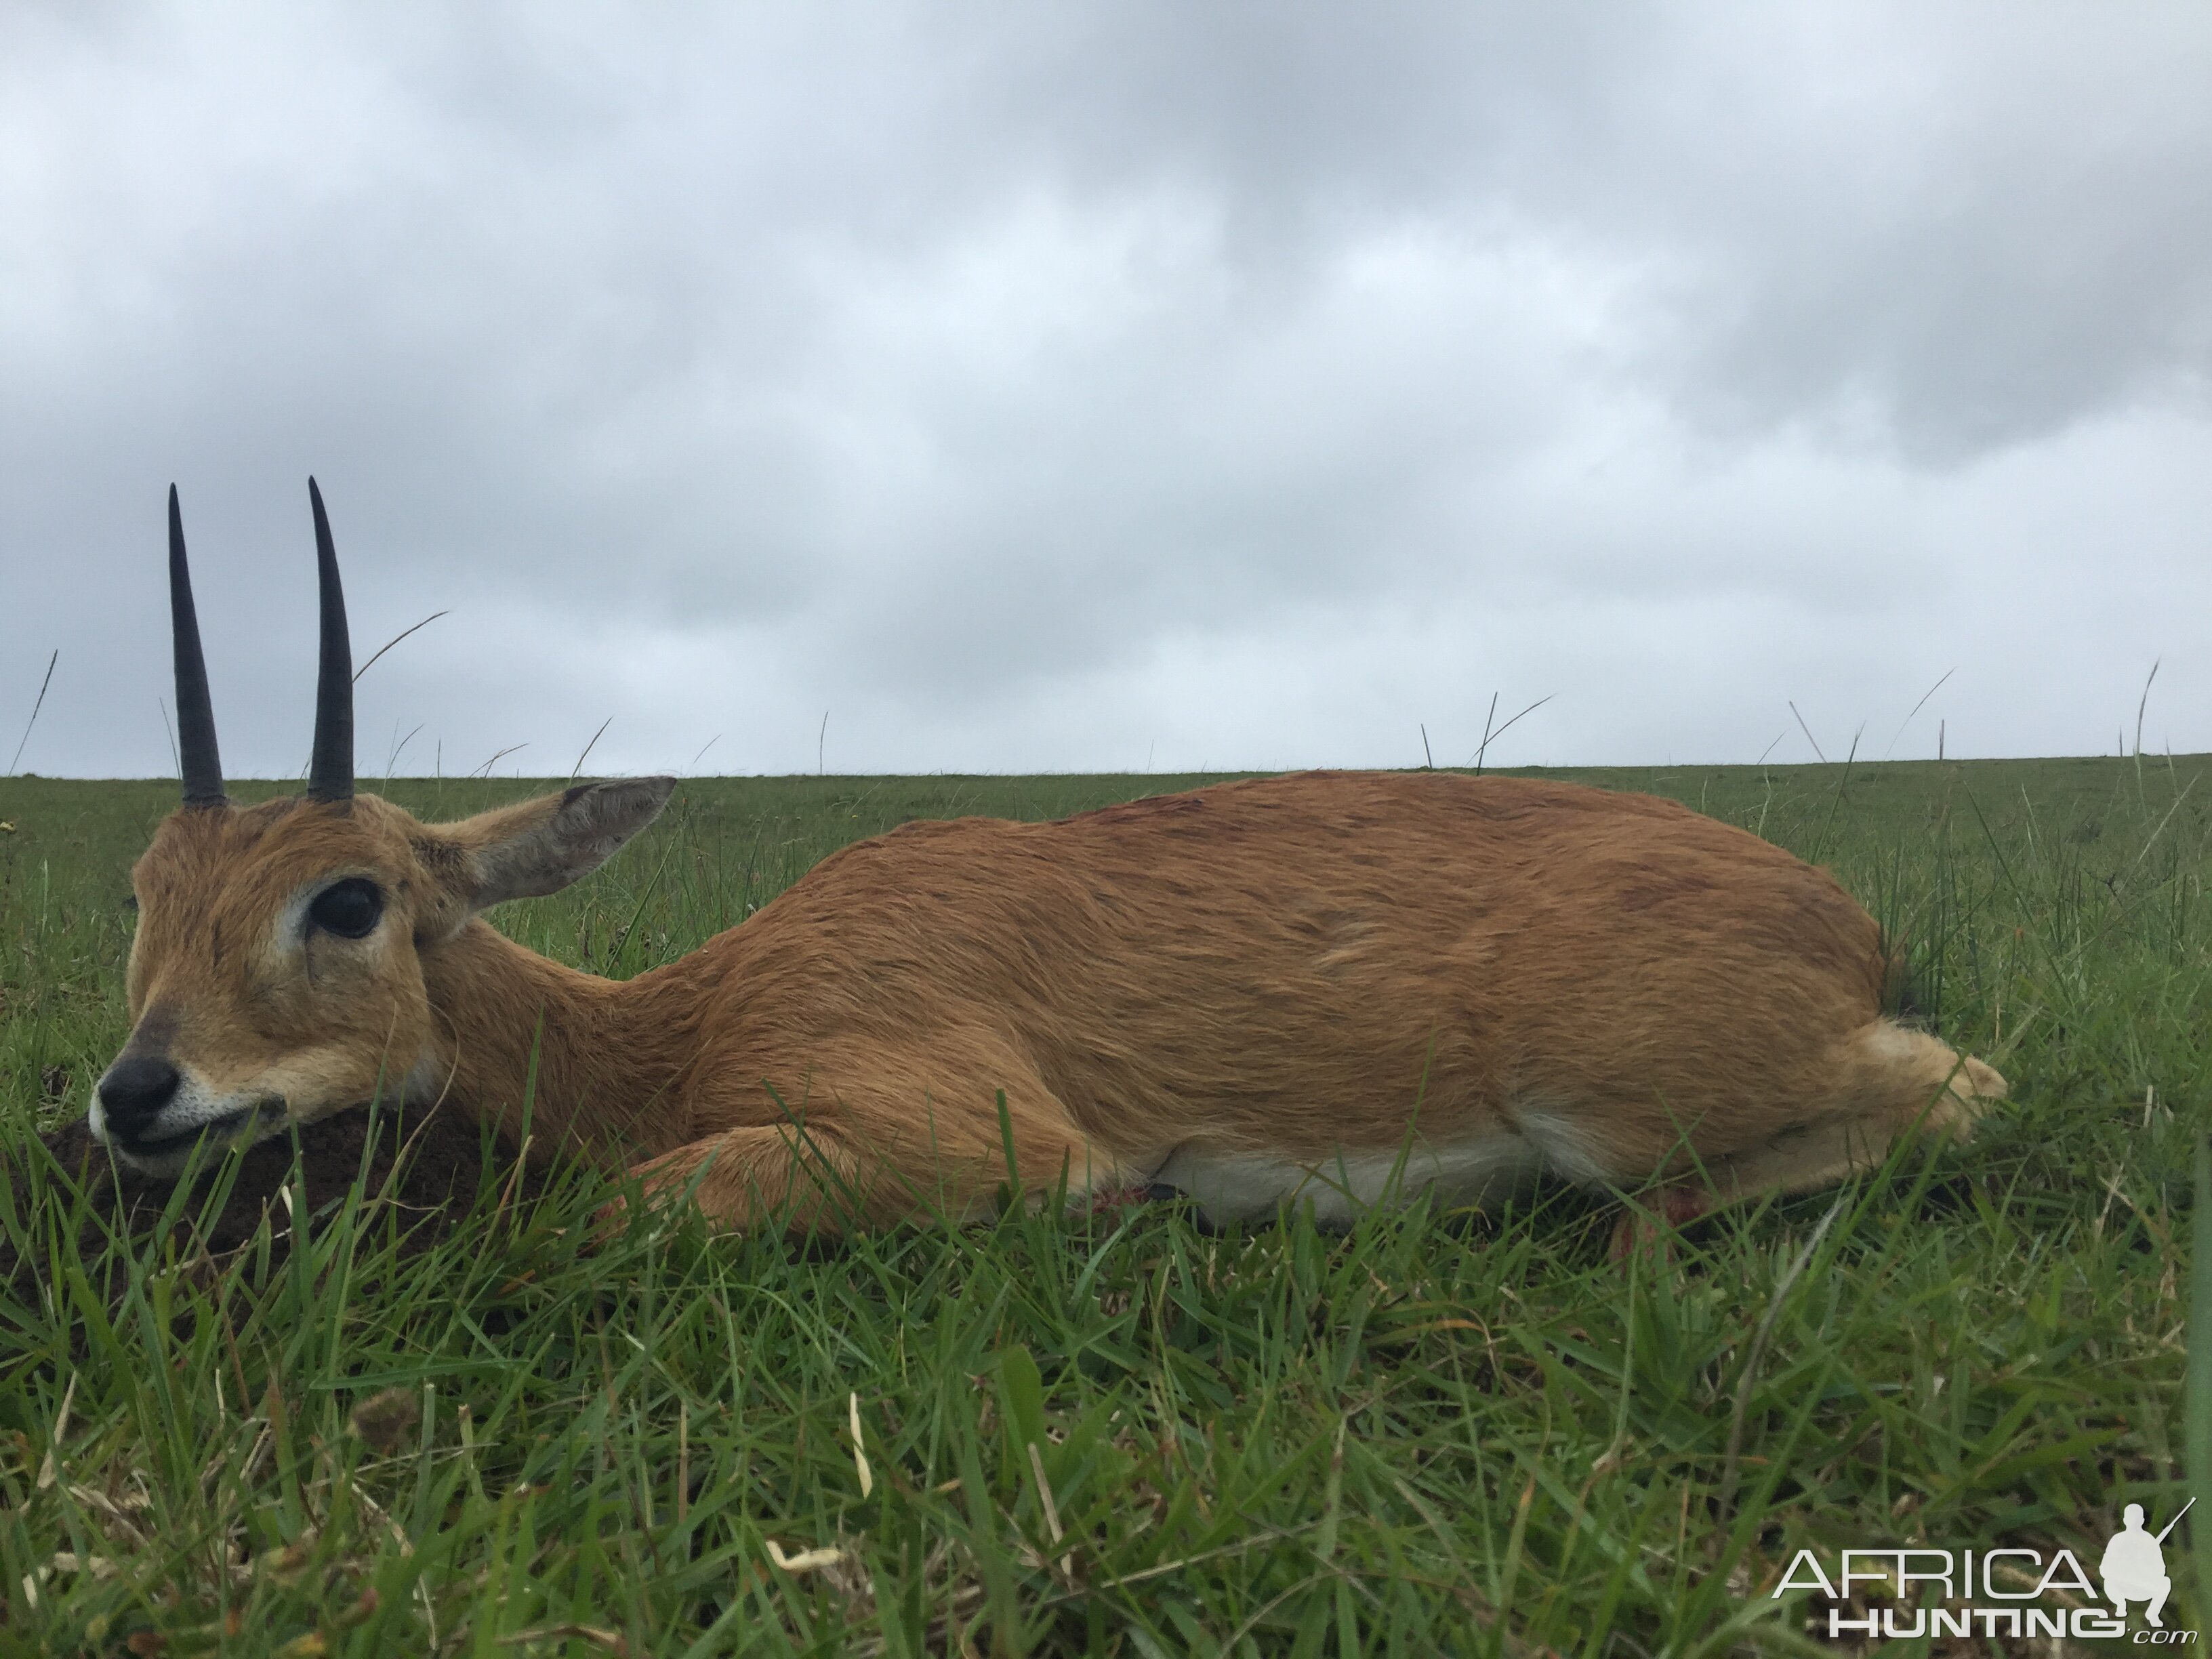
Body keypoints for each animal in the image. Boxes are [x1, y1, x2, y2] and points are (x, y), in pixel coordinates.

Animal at [90, 480, 2008, 1238]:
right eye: (144, 895)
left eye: (347, 896)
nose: (133, 1093)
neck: (699, 1019)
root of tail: (1844, 919)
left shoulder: (961, 1138)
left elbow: (634, 1205)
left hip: (1605, 1102)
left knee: (1961, 1092)